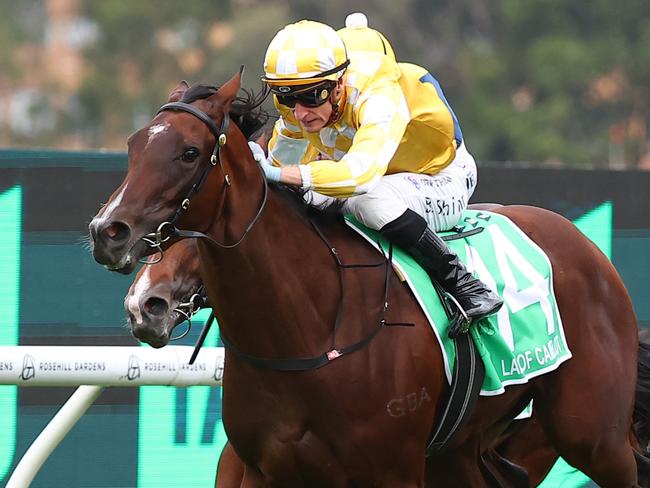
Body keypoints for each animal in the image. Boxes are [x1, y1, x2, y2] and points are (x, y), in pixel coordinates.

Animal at [92, 70, 648, 486]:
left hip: (590, 431)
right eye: (133, 146)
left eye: (189, 153)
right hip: (459, 452)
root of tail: (586, 247)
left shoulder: (392, 471)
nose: (107, 232)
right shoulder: (261, 469)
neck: (309, 333)